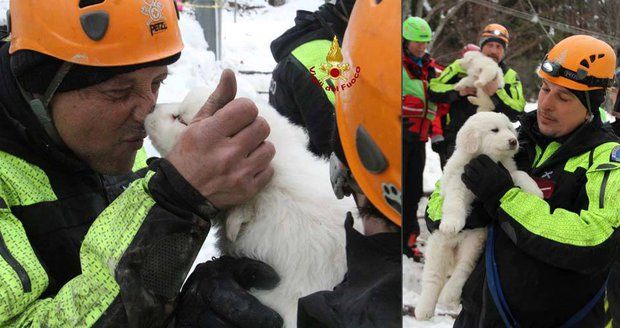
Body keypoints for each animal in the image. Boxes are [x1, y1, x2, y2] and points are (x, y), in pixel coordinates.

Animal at [416, 111, 544, 320]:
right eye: (494, 130)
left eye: (509, 128)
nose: (513, 141)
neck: (488, 159)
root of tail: (455, 248)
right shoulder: (458, 180)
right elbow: (454, 201)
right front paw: (451, 224)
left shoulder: (505, 171)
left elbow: (520, 175)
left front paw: (536, 191)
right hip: (438, 247)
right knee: (432, 278)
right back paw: (424, 310)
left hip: (474, 243)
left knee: (462, 270)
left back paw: (450, 297)